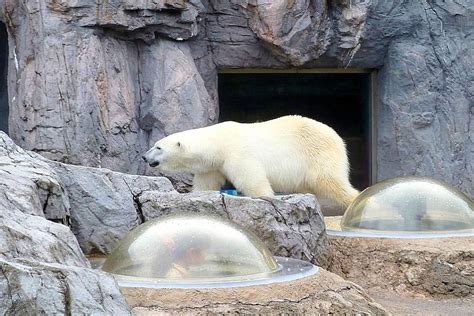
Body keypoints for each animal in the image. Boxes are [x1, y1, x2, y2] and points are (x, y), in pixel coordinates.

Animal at [143, 115, 360, 207]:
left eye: (158, 147)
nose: (144, 156)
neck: (219, 142)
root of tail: (337, 137)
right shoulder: (213, 166)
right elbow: (206, 183)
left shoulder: (237, 154)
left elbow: (251, 178)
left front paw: (267, 197)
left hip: (317, 153)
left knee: (329, 180)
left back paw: (354, 201)